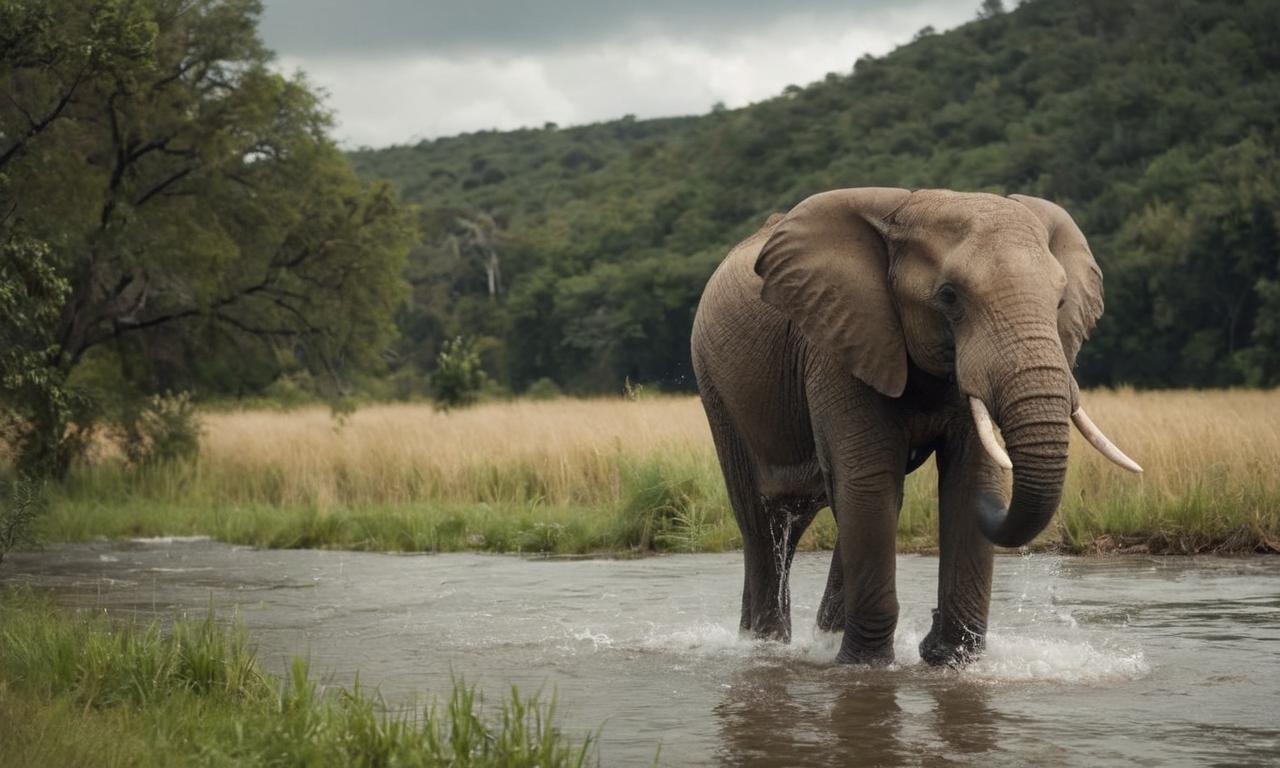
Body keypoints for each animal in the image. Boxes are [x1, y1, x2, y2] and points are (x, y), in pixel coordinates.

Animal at [691, 186, 1141, 665]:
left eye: (1059, 302)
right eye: (949, 296)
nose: (930, 626)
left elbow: (967, 478)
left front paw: (949, 660)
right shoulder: (837, 344)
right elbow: (869, 481)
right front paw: (866, 667)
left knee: (808, 515)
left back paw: (816, 639)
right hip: (715, 382)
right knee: (763, 518)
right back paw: (766, 647)